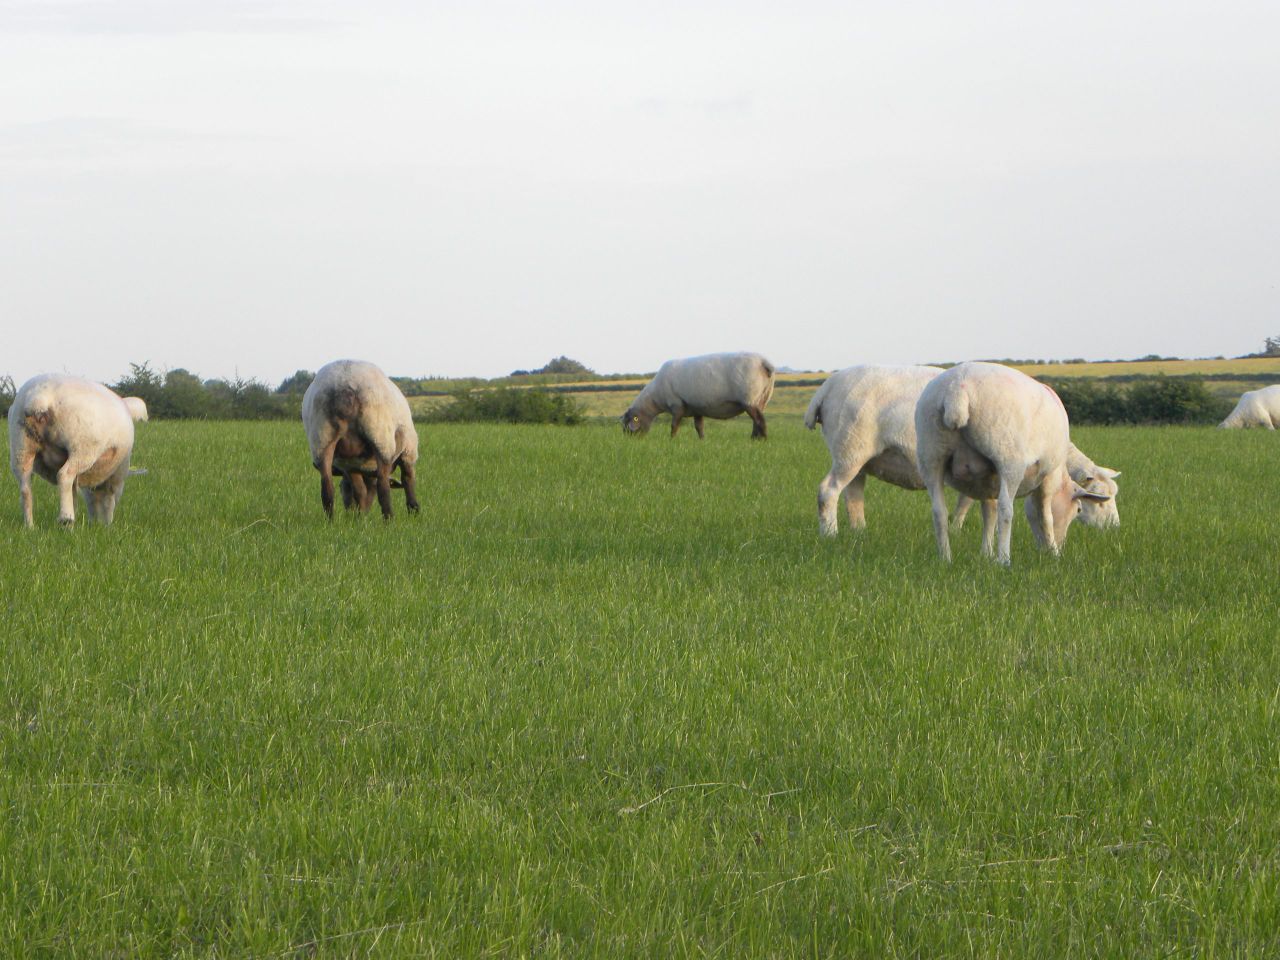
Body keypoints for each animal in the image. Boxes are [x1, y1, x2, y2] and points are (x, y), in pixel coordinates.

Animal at [8, 374, 145, 527]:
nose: (99, 525)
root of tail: (40, 397)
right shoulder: (117, 475)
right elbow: (109, 500)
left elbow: (74, 493)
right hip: (82, 448)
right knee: (64, 475)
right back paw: (66, 520)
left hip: (20, 446)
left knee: (25, 487)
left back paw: (30, 526)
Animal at [302, 359, 419, 519]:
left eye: (344, 488)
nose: (349, 510)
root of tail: (345, 385)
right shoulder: (409, 452)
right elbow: (408, 480)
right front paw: (414, 511)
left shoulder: (350, 465)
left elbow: (359, 491)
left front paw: (358, 516)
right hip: (381, 438)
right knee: (383, 487)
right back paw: (389, 519)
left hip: (322, 438)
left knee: (327, 489)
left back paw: (332, 521)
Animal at [621, 352, 775, 439]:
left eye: (628, 424)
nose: (630, 441)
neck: (655, 398)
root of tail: (764, 363)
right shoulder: (696, 408)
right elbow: (699, 427)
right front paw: (702, 441)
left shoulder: (677, 404)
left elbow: (674, 425)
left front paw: (671, 440)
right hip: (762, 398)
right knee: (757, 421)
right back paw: (754, 439)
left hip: (749, 398)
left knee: (760, 420)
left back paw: (763, 440)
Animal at [915, 361, 1111, 565]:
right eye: (1078, 509)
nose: (1061, 544)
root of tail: (957, 388)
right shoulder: (1049, 477)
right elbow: (1045, 514)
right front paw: (1054, 552)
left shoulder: (986, 480)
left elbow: (989, 512)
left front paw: (986, 553)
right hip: (1008, 458)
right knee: (1005, 510)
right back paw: (1004, 559)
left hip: (930, 454)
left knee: (939, 511)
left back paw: (945, 558)